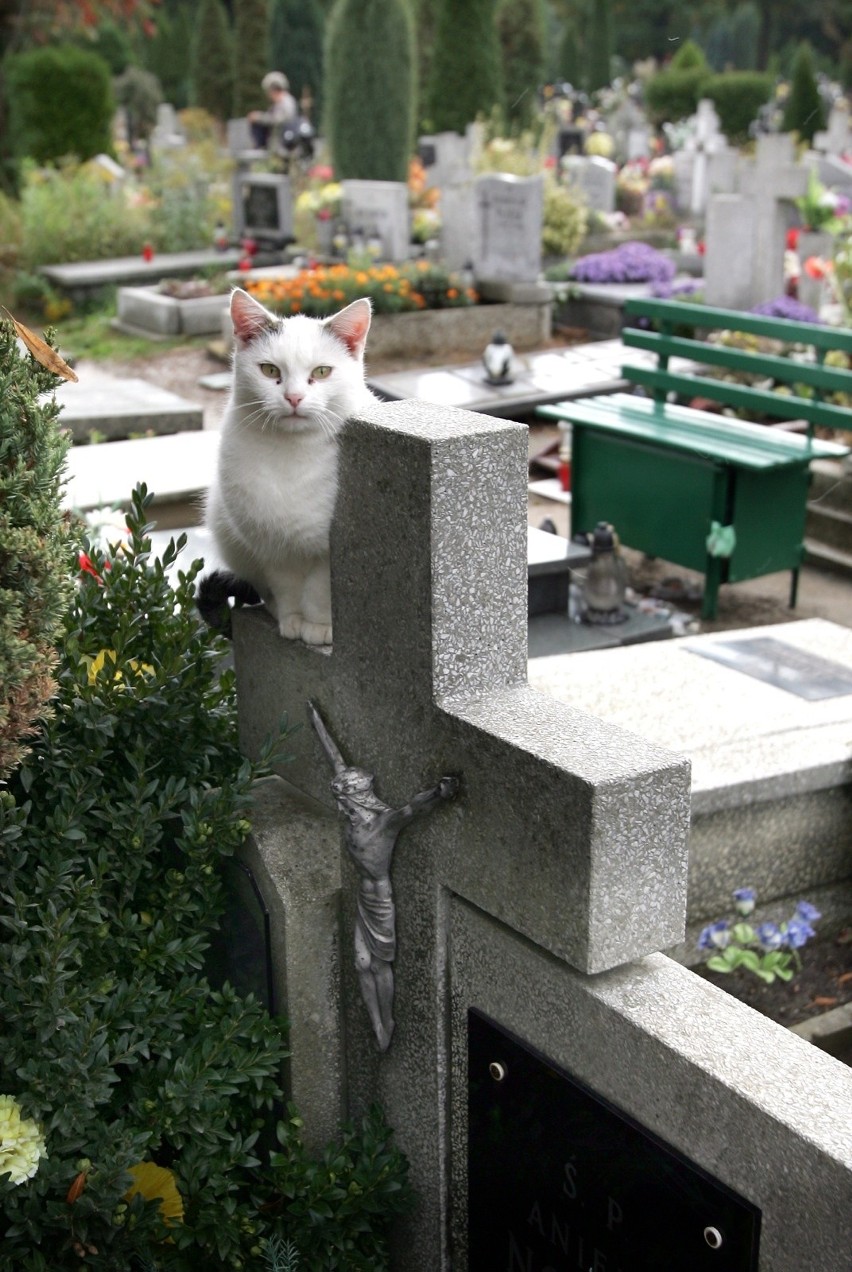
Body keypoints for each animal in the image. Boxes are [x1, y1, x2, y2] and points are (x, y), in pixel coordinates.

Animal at [203, 288, 376, 646]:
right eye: (269, 370)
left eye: (322, 372)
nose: (294, 398)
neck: (291, 454)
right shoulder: (271, 544)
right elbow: (288, 588)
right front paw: (292, 620)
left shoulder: (327, 552)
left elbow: (320, 591)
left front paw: (321, 627)